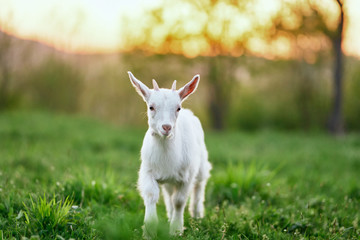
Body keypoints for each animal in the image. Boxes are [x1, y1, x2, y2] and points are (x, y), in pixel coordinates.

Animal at [128, 71, 211, 238]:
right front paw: (149, 230)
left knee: (199, 187)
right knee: (168, 195)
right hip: (169, 180)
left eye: (178, 108)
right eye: (151, 107)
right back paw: (171, 215)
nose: (166, 127)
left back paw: (197, 215)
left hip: (201, 167)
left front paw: (176, 230)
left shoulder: (187, 176)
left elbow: (179, 200)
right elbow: (152, 195)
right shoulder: (148, 171)